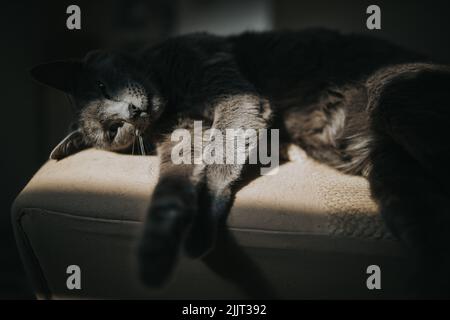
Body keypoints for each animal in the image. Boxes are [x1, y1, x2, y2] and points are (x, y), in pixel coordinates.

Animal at [30, 28, 450, 296]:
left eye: (104, 88)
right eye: (113, 130)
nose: (131, 113)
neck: (172, 100)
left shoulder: (236, 97)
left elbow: (221, 158)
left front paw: (201, 227)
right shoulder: (182, 143)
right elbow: (169, 193)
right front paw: (155, 256)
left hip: (396, 103)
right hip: (392, 177)